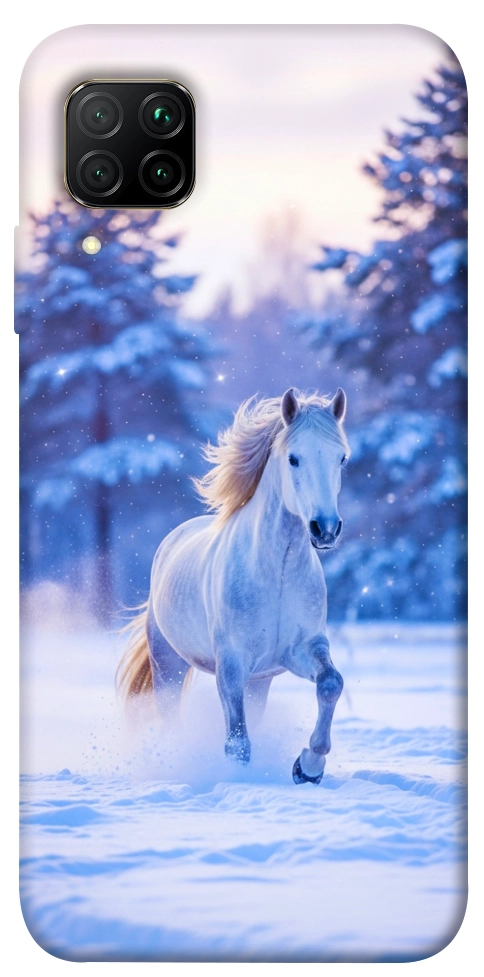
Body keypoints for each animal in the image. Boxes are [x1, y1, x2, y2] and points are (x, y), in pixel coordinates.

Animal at [118, 387, 350, 784]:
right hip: (168, 665)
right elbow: (237, 742)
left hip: (259, 682)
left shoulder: (301, 649)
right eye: (293, 458)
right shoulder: (231, 664)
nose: (325, 529)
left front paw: (308, 767)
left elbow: (331, 683)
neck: (277, 573)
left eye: (341, 459)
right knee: (170, 717)